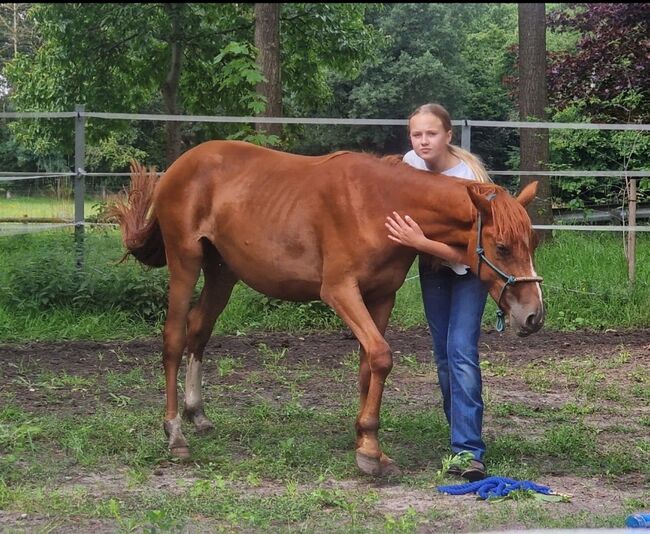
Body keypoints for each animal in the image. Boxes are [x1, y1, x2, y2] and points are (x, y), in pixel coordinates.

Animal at [110, 140, 540, 480]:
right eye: (502, 247)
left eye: (531, 244)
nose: (533, 316)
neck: (381, 204)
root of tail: (181, 165)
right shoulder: (340, 291)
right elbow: (381, 356)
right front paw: (370, 454)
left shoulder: (380, 297)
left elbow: (369, 364)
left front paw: (366, 442)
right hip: (185, 260)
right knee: (174, 338)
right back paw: (175, 434)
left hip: (222, 272)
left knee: (199, 329)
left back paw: (197, 413)